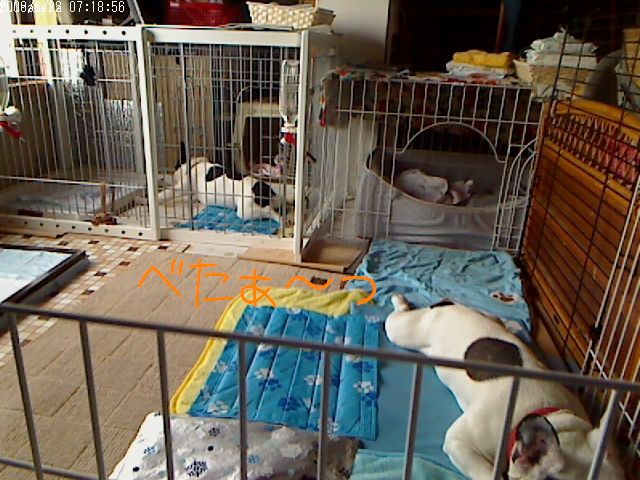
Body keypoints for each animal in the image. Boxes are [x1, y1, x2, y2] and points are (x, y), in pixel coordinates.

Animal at [158, 144, 296, 223]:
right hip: (275, 200)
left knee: (269, 211)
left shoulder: (182, 186)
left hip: (245, 210)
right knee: (282, 203)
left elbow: (168, 192)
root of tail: (264, 189)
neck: (193, 165)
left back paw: (282, 220)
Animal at [385, 295, 624, 480]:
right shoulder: (460, 441)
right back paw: (401, 300)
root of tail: (449, 304)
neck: (549, 414)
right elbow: (486, 473)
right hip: (406, 330)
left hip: (484, 317)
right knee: (396, 319)